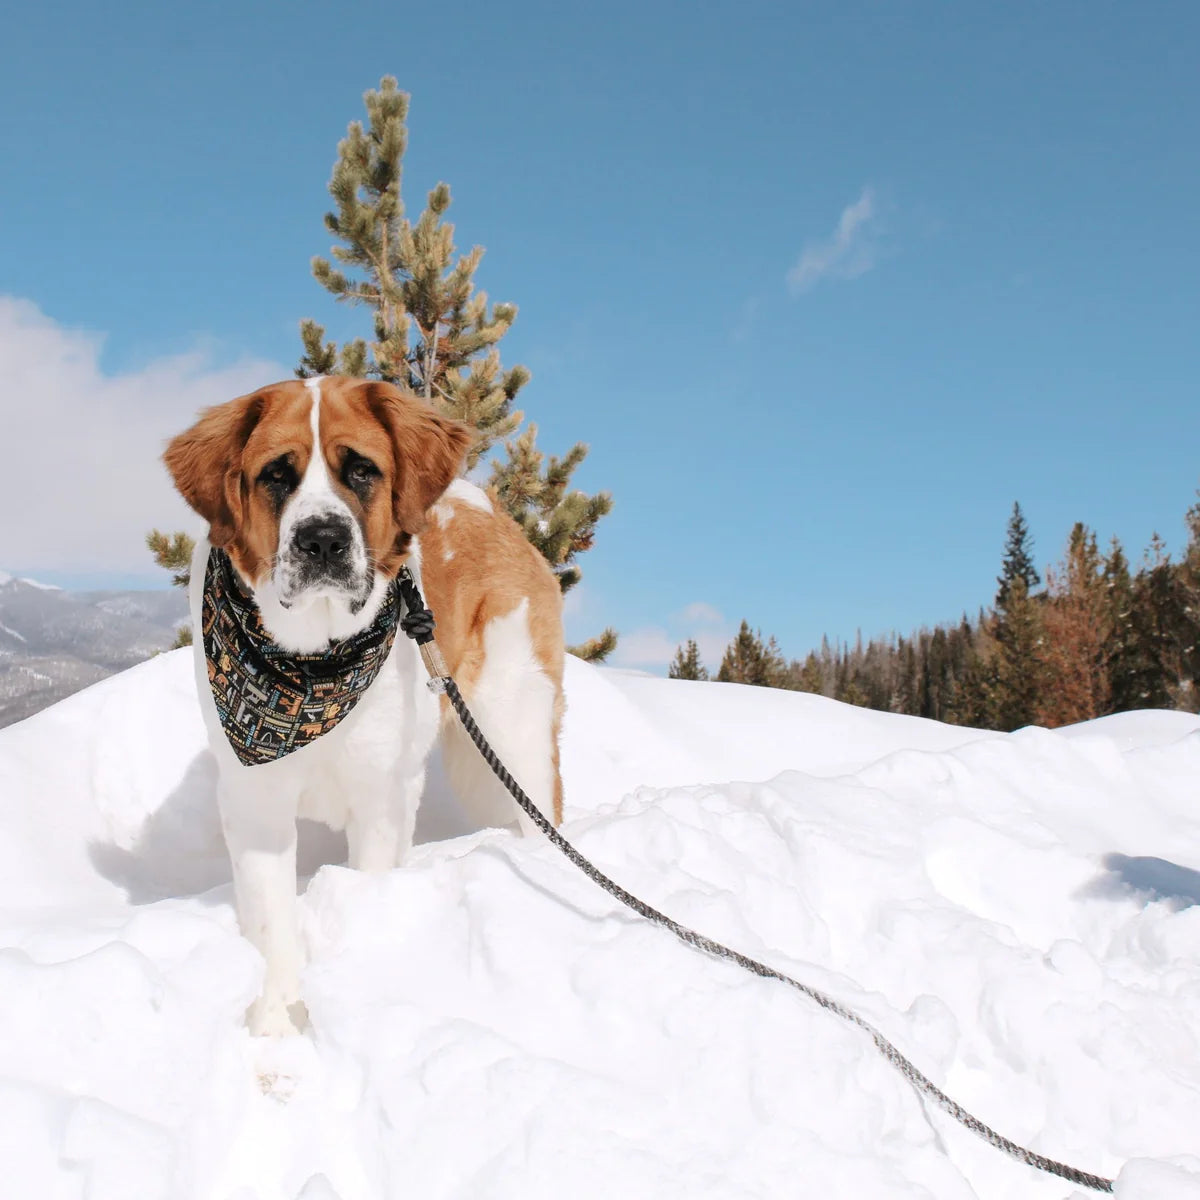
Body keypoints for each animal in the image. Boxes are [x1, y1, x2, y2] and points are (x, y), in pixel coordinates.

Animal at [163, 379, 566, 1036]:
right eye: (276, 475)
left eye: (360, 470)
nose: (322, 539)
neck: (311, 670)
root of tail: (487, 505)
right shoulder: (255, 802)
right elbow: (272, 920)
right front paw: (277, 1027)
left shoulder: (382, 795)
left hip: (512, 733)